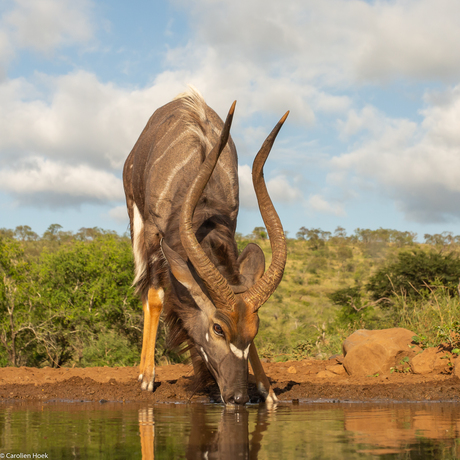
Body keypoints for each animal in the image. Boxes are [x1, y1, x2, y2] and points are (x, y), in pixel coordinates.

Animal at [122, 88, 288, 404]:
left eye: (255, 330)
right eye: (218, 328)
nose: (238, 397)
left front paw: (267, 389)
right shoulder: (154, 234)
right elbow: (156, 296)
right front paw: (147, 378)